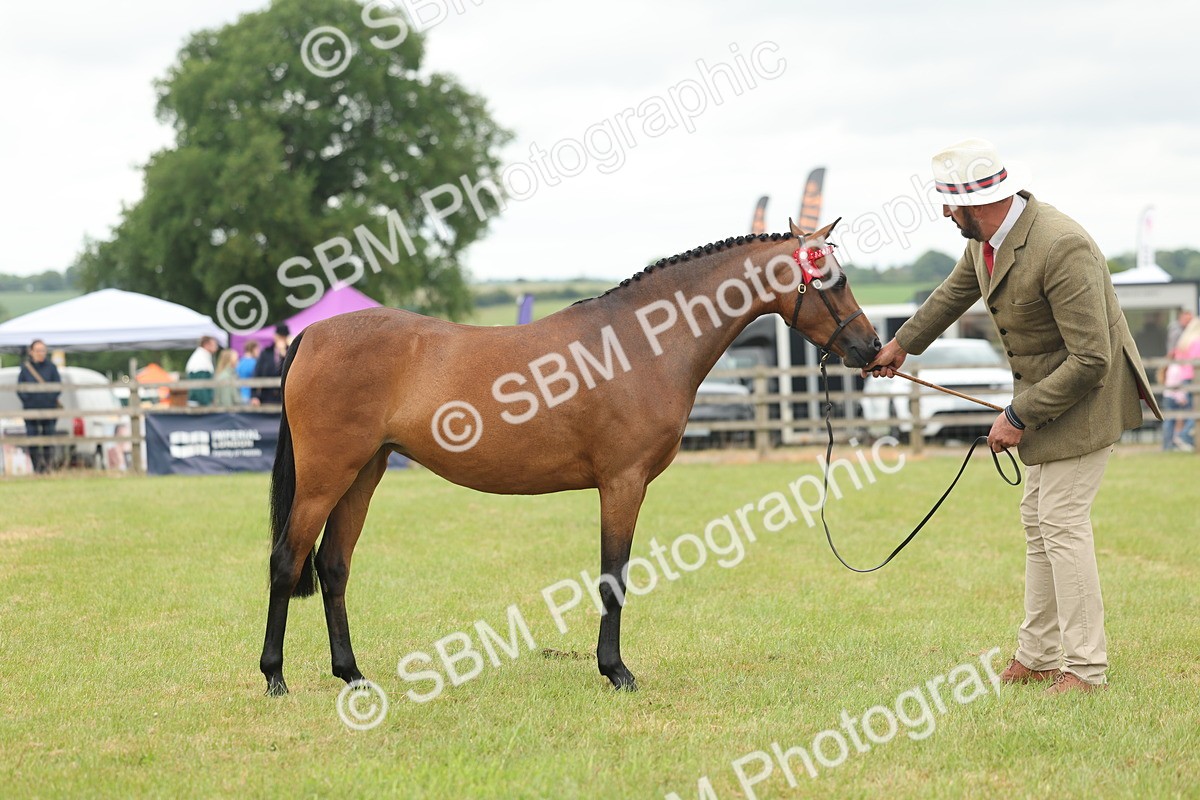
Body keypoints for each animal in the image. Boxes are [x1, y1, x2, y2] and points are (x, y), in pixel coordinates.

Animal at [259, 217, 881, 696]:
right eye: (833, 280)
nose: (871, 348)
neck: (638, 343)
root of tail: (313, 334)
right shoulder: (623, 483)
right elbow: (613, 577)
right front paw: (616, 672)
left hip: (363, 474)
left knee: (333, 566)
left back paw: (352, 675)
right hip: (325, 477)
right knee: (287, 561)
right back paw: (275, 677)